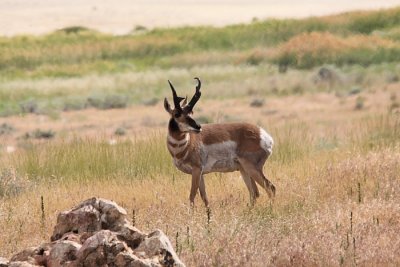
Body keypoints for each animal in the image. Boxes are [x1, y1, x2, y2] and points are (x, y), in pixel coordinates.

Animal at [163, 77, 276, 207]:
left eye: (191, 112)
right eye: (177, 114)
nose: (198, 127)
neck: (186, 144)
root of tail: (263, 134)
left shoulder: (196, 170)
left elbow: (192, 196)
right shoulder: (200, 173)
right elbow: (204, 197)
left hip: (251, 168)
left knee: (270, 188)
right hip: (244, 169)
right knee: (254, 193)